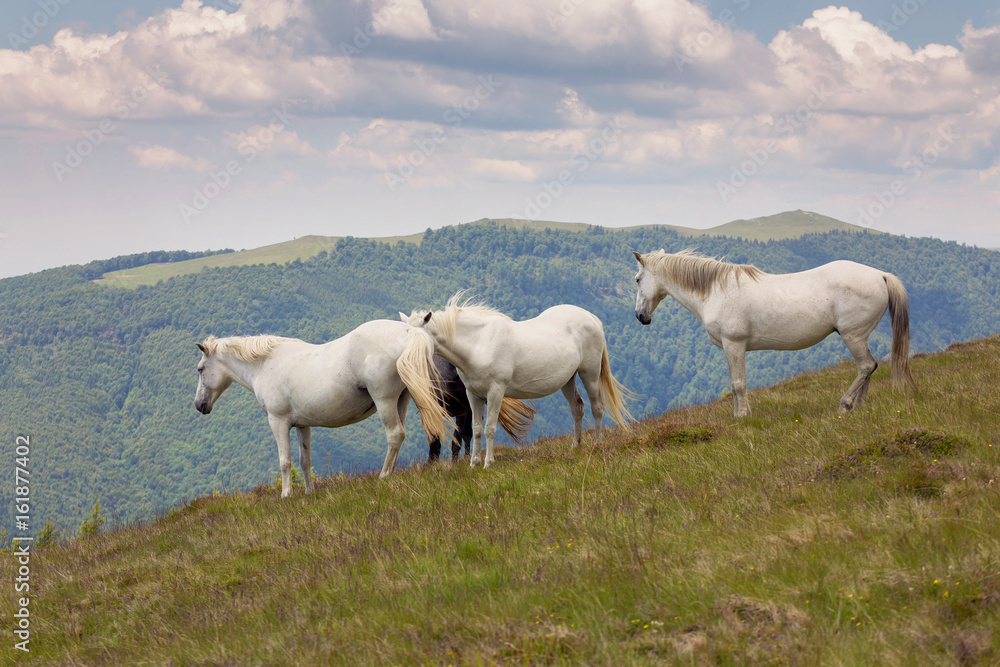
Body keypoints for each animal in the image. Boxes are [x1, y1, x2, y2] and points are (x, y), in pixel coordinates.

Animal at [193, 320, 450, 497]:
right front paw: (309, 492)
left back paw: (384, 475)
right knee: (400, 435)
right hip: (401, 401)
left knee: (394, 434)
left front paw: (286, 495)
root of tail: (409, 332)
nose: (199, 405)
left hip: (385, 401)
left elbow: (285, 460)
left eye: (200, 369)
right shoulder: (301, 425)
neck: (265, 364)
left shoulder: (278, 422)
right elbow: (304, 460)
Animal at [402, 294, 633, 469]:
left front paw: (488, 463)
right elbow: (475, 429)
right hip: (568, 379)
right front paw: (474, 463)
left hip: (590, 373)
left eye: (417, 336)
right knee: (578, 407)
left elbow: (489, 428)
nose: (404, 363)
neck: (479, 343)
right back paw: (575, 446)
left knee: (597, 407)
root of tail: (591, 317)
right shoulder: (473, 395)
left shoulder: (495, 392)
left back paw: (596, 444)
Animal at [632, 249, 916, 417]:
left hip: (852, 336)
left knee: (866, 366)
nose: (640, 316)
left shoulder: (733, 345)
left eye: (637, 279)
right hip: (859, 337)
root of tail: (880, 275)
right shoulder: (730, 348)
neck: (716, 291)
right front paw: (741, 414)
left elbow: (738, 383)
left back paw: (845, 405)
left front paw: (741, 417)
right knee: (868, 367)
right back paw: (859, 406)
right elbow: (735, 382)